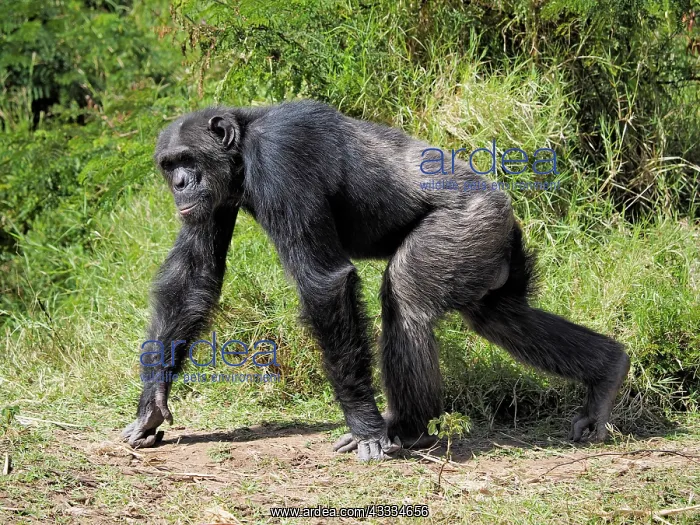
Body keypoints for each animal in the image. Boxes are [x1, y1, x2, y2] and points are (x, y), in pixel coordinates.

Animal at [122, 100, 630, 461]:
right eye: (168, 164)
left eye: (188, 159)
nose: (180, 183)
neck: (244, 150)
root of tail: (505, 210)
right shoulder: (213, 204)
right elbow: (195, 275)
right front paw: (151, 405)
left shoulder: (283, 160)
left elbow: (323, 282)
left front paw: (363, 425)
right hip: (485, 254)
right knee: (503, 317)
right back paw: (606, 374)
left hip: (464, 229)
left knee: (406, 297)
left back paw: (403, 427)